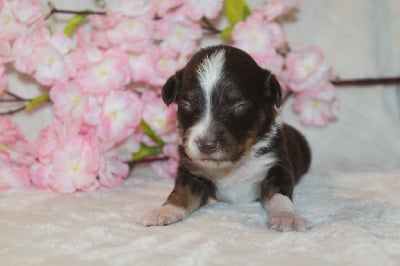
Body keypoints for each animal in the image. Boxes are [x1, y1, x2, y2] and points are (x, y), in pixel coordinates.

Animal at [141, 44, 312, 232]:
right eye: (187, 104)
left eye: (240, 104)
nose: (206, 145)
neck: (231, 165)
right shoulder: (192, 173)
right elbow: (180, 193)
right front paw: (164, 211)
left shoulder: (276, 166)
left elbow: (279, 195)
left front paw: (287, 217)